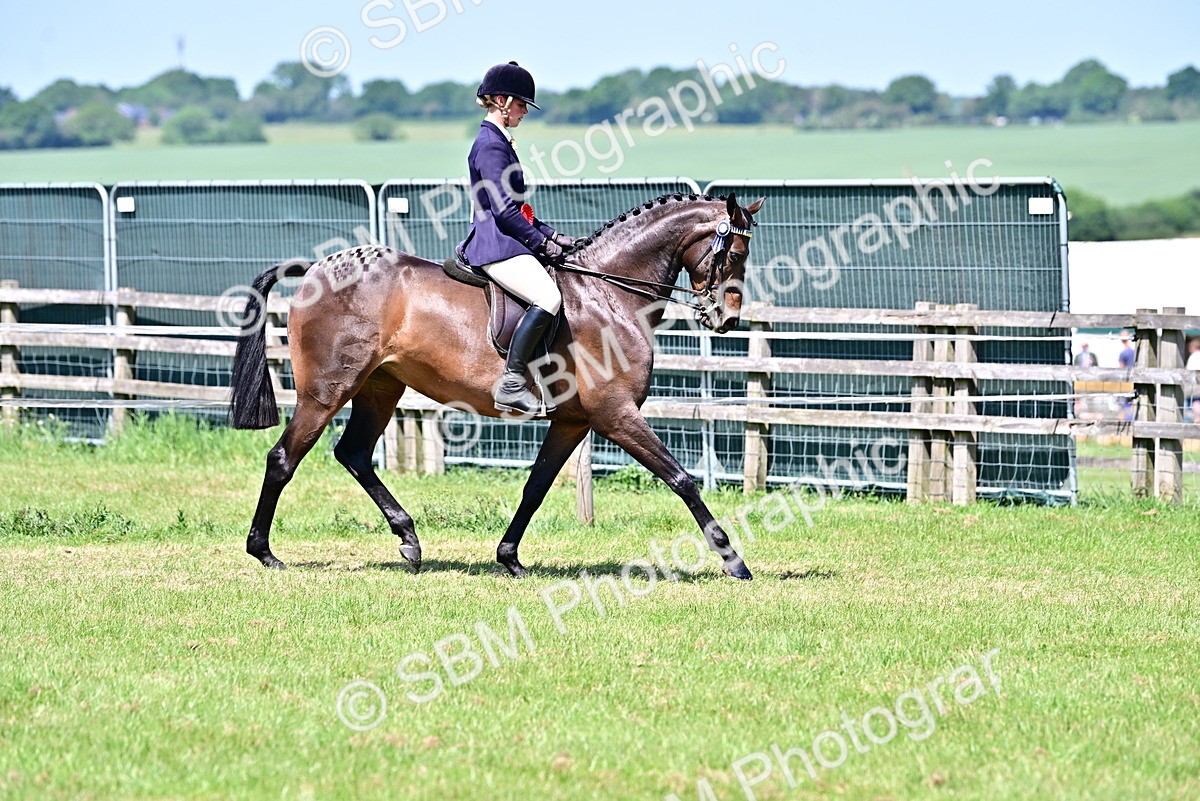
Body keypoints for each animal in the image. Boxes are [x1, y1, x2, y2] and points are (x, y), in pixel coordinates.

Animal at [229, 192, 766, 579]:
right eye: (735, 253)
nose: (727, 319)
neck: (608, 293)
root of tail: (318, 268)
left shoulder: (573, 421)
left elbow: (535, 487)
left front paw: (509, 558)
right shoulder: (616, 414)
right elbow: (682, 479)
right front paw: (734, 561)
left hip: (380, 388)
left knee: (355, 454)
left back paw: (409, 541)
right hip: (325, 393)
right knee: (283, 459)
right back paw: (264, 553)